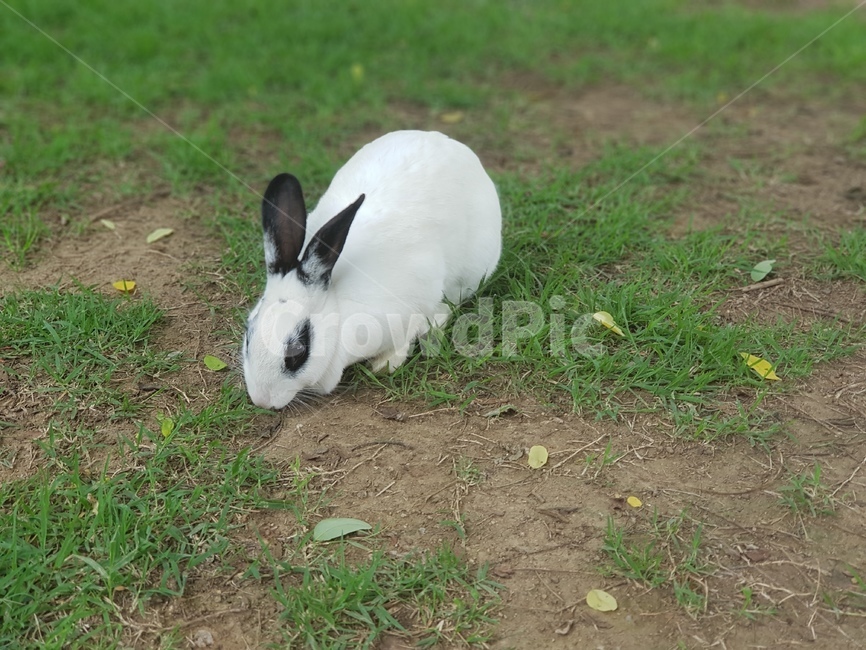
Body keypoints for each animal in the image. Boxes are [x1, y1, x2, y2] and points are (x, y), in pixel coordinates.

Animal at [242, 130, 501, 410]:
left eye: (298, 351)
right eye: (248, 336)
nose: (261, 400)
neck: (337, 306)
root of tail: (447, 141)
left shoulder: (413, 304)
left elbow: (409, 333)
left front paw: (386, 364)